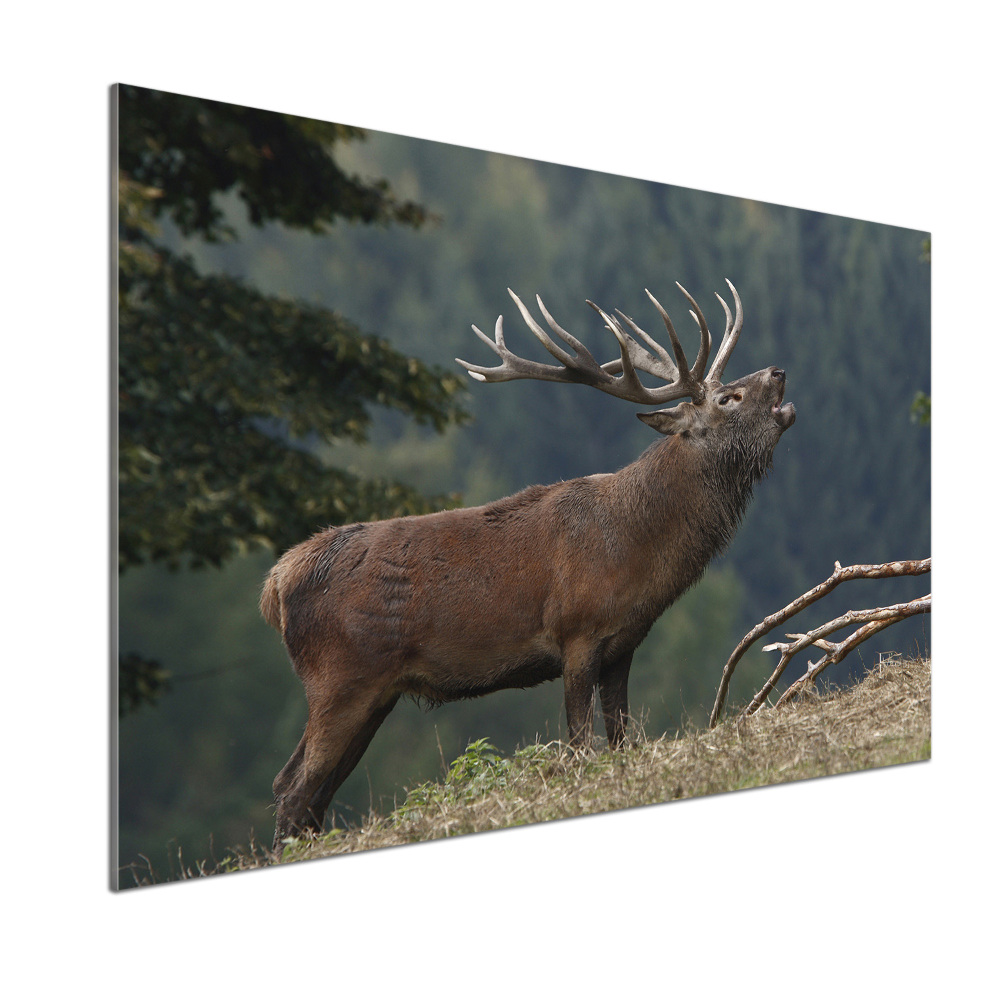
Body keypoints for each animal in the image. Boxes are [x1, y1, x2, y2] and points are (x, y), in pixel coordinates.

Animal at [260, 282, 796, 852]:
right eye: (726, 398)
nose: (778, 370)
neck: (637, 550)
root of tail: (276, 585)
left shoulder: (624, 644)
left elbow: (621, 741)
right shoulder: (577, 632)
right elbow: (580, 746)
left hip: (375, 692)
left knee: (310, 793)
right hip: (339, 677)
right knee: (294, 786)